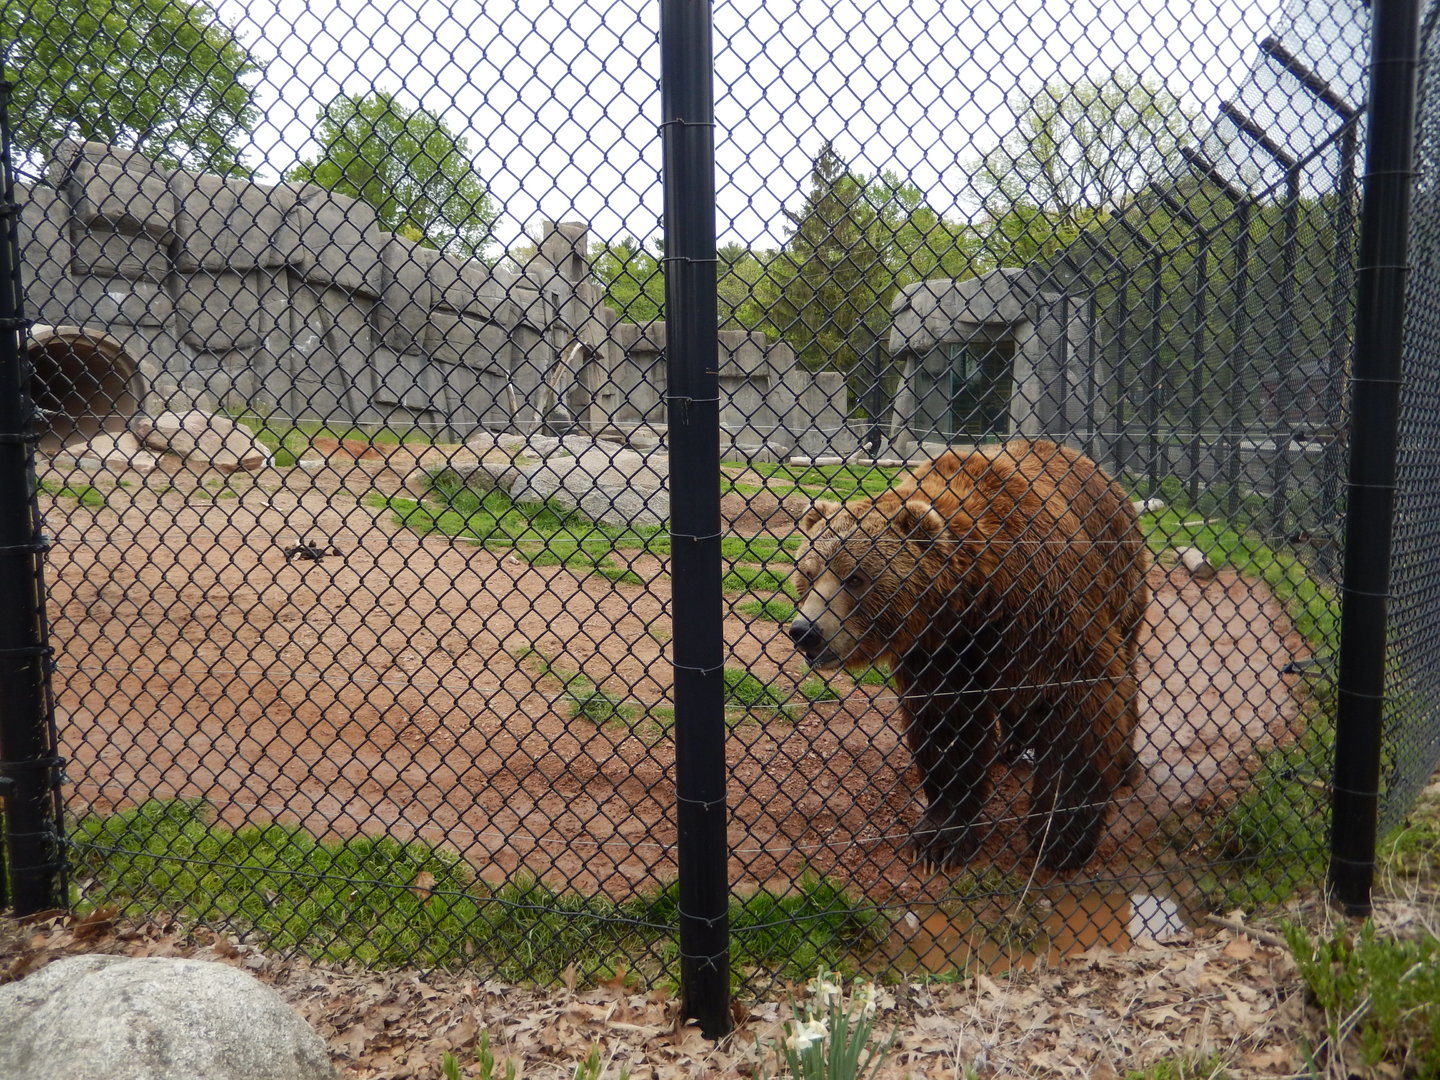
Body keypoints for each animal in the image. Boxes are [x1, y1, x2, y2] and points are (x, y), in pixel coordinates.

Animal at [787, 439, 1149, 871]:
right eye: (808, 573)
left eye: (855, 577)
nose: (806, 631)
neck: (973, 598)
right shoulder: (940, 648)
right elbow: (947, 723)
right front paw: (940, 839)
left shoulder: (1043, 604)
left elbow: (1080, 699)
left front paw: (1059, 838)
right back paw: (1012, 745)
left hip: (1119, 574)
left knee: (1125, 667)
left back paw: (1125, 766)